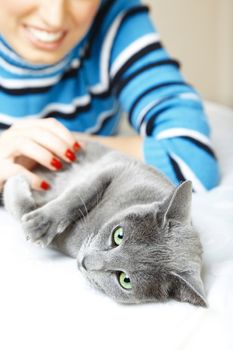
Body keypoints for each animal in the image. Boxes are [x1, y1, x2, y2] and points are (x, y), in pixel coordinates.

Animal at [2, 142, 206, 306]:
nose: (85, 262)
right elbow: (77, 195)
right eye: (119, 235)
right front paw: (38, 223)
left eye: (125, 280)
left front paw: (17, 188)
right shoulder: (117, 168)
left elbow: (23, 208)